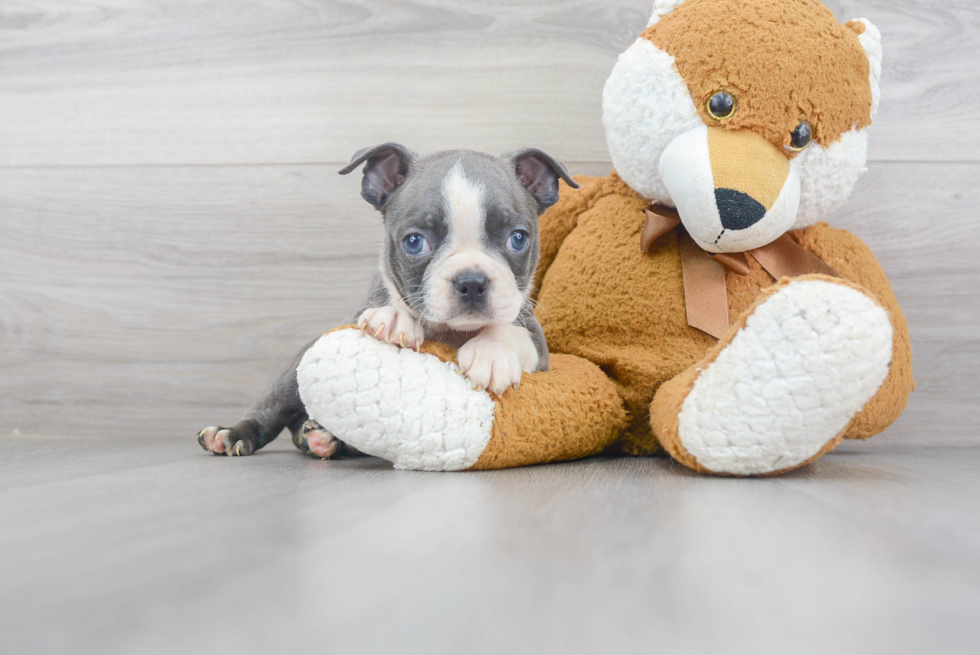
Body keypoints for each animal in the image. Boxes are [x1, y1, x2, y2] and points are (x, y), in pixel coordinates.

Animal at [196, 145, 580, 458]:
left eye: (518, 238)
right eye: (413, 242)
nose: (471, 281)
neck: (453, 332)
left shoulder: (536, 339)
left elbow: (511, 331)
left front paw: (492, 353)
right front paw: (395, 319)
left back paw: (319, 436)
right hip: (294, 372)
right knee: (271, 409)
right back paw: (236, 434)